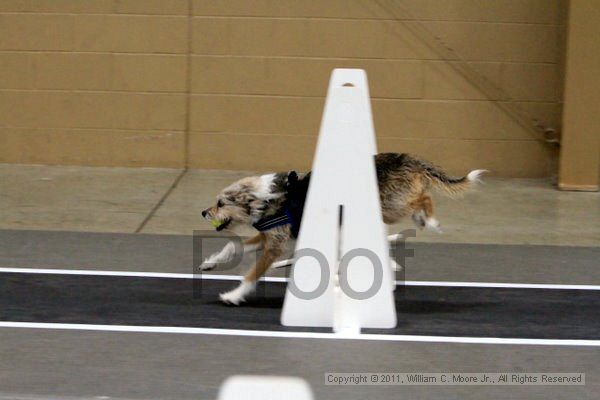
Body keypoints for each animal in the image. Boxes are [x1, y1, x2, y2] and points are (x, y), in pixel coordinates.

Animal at [199, 152, 486, 304]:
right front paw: (210, 263)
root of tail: (408, 159)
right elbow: (232, 246)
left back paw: (431, 221)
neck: (265, 199)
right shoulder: (269, 237)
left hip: (390, 204)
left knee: (423, 197)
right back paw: (421, 221)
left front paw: (234, 294)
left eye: (221, 203)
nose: (204, 212)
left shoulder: (275, 247)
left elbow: (251, 274)